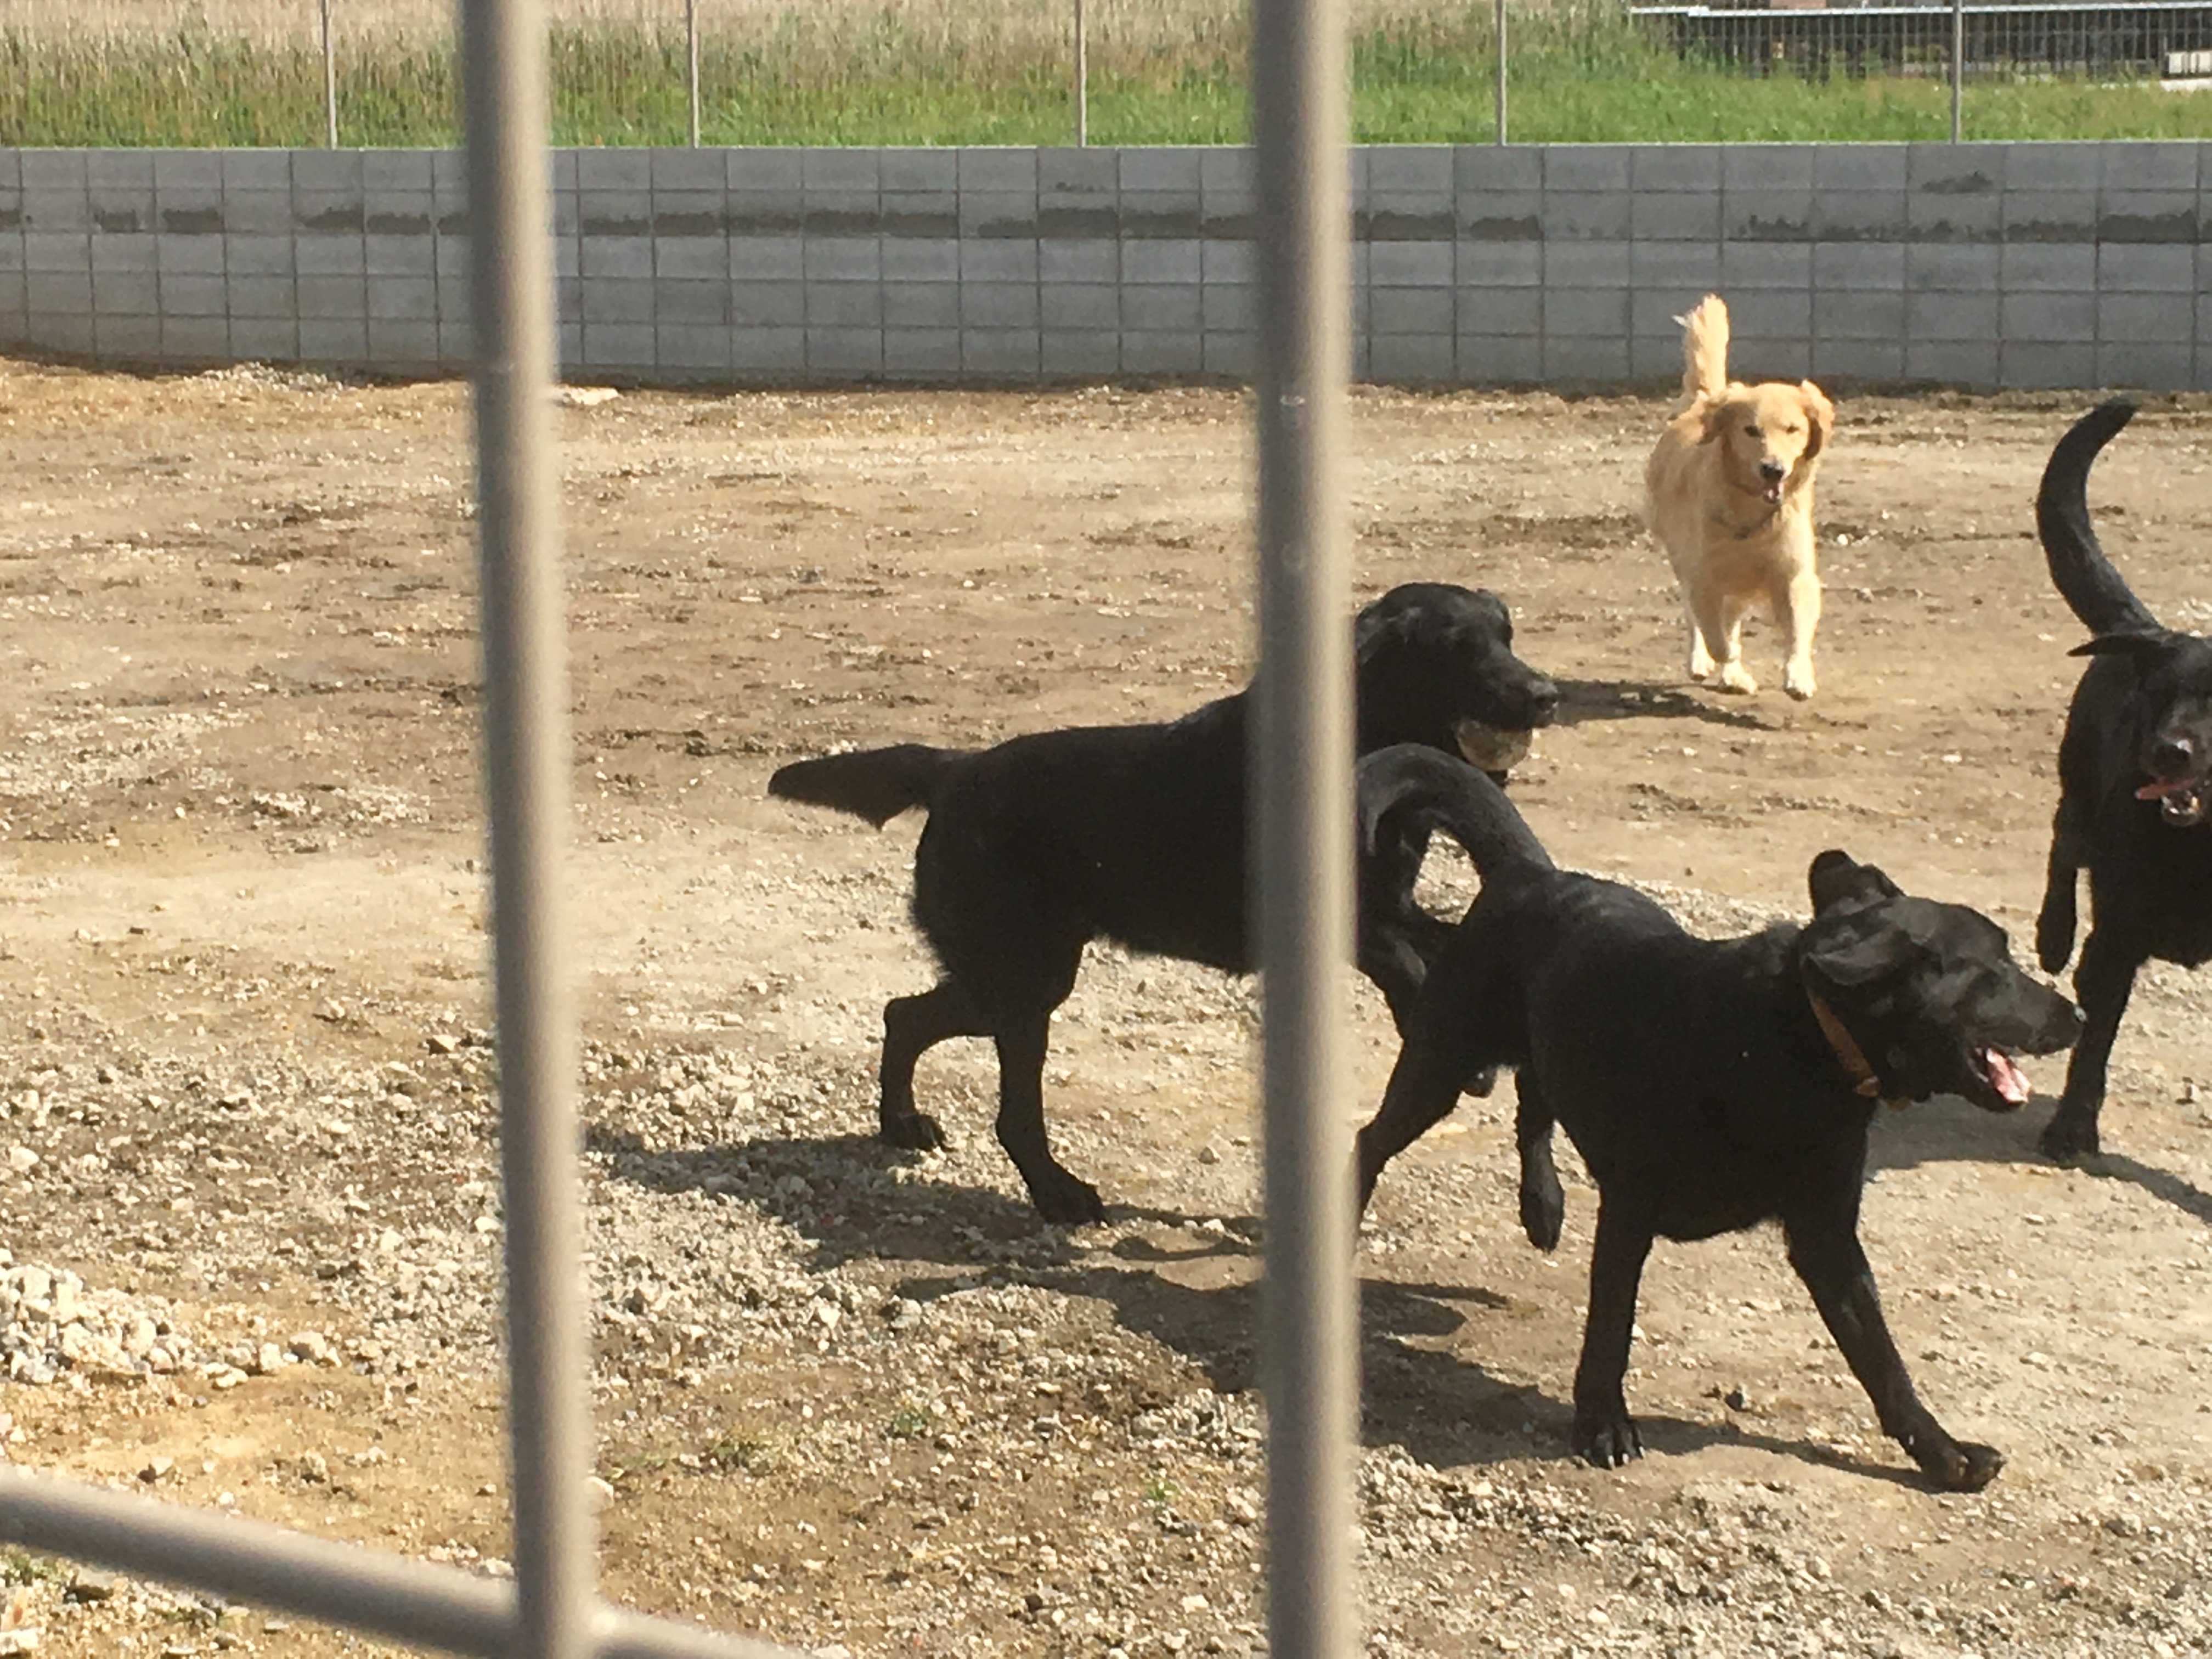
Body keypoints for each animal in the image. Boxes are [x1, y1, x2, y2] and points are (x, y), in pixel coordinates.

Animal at [770, 579, 1566, 1221]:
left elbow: (1436, 940)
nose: (1546, 695)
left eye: (1507, 635)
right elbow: (1408, 962)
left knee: (903, 1015)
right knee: (1008, 1110)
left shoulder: (1391, 904)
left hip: (1009, 977)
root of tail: (956, 770)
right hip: (1025, 980)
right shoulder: (1341, 920)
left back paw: (901, 1123)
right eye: (1458, 648)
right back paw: (1059, 1196)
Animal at [1336, 752, 2079, 1495]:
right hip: (1440, 1064)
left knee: (1532, 1103)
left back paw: (1542, 1207)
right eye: (1998, 966)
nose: (2075, 1014)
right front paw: (1602, 1424)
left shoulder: (1828, 1237)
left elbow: (1880, 1357)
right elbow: (1612, 1323)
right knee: (1372, 1140)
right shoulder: (1630, 1210)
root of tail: (1532, 874)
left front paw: (1943, 1454)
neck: (1799, 1040)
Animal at [1645, 296, 1831, 699]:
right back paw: (1704, 663)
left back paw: (1734, 675)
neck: (1751, 512)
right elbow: (1714, 632)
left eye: (1793, 429)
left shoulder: (1793, 572)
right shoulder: (1703, 576)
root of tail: (1704, 402)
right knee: (1698, 621)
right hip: (1684, 559)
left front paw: (1799, 677)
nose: (1773, 469)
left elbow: (1798, 628)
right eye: (1751, 430)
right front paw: (1720, 656)